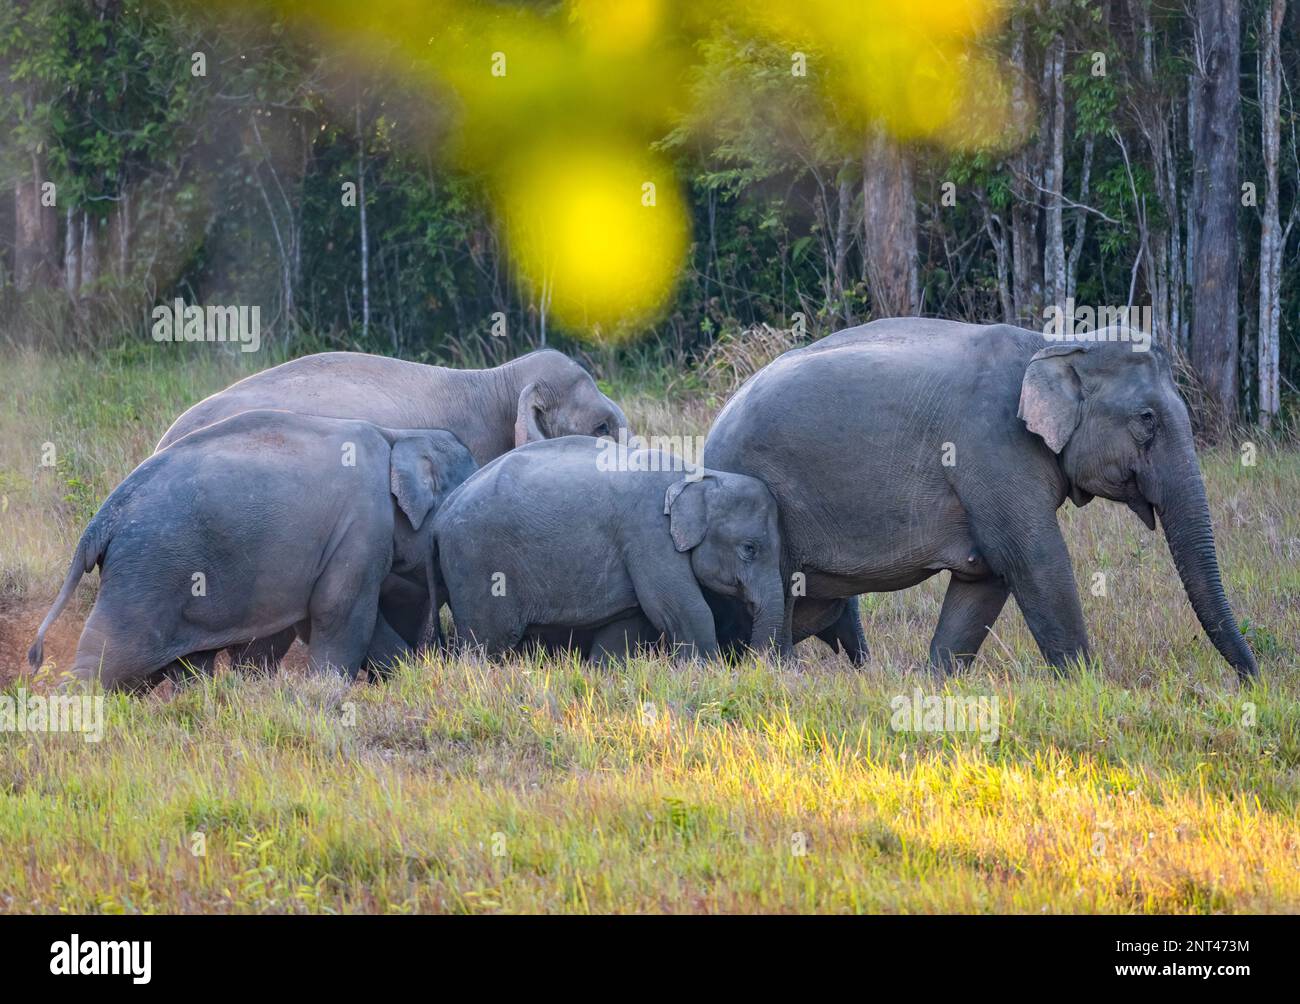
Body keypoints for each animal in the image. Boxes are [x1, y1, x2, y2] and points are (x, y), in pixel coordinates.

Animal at [29, 410, 478, 691]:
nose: (443, 653)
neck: (397, 435)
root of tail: (101, 520)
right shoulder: (360, 528)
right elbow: (341, 613)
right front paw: (330, 691)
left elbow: (322, 618)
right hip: (146, 570)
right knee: (112, 655)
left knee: (174, 662)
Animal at [434, 436, 780, 658]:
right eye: (749, 548)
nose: (752, 663)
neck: (697, 477)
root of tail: (443, 512)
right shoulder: (649, 534)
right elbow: (682, 609)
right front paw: (705, 672)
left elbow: (626, 625)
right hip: (477, 565)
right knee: (486, 643)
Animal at [702, 321, 1258, 681]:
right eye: (1147, 420)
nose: (1250, 681)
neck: (1053, 345)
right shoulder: (993, 448)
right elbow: (1033, 559)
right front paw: (1087, 687)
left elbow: (985, 576)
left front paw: (937, 684)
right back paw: (779, 675)